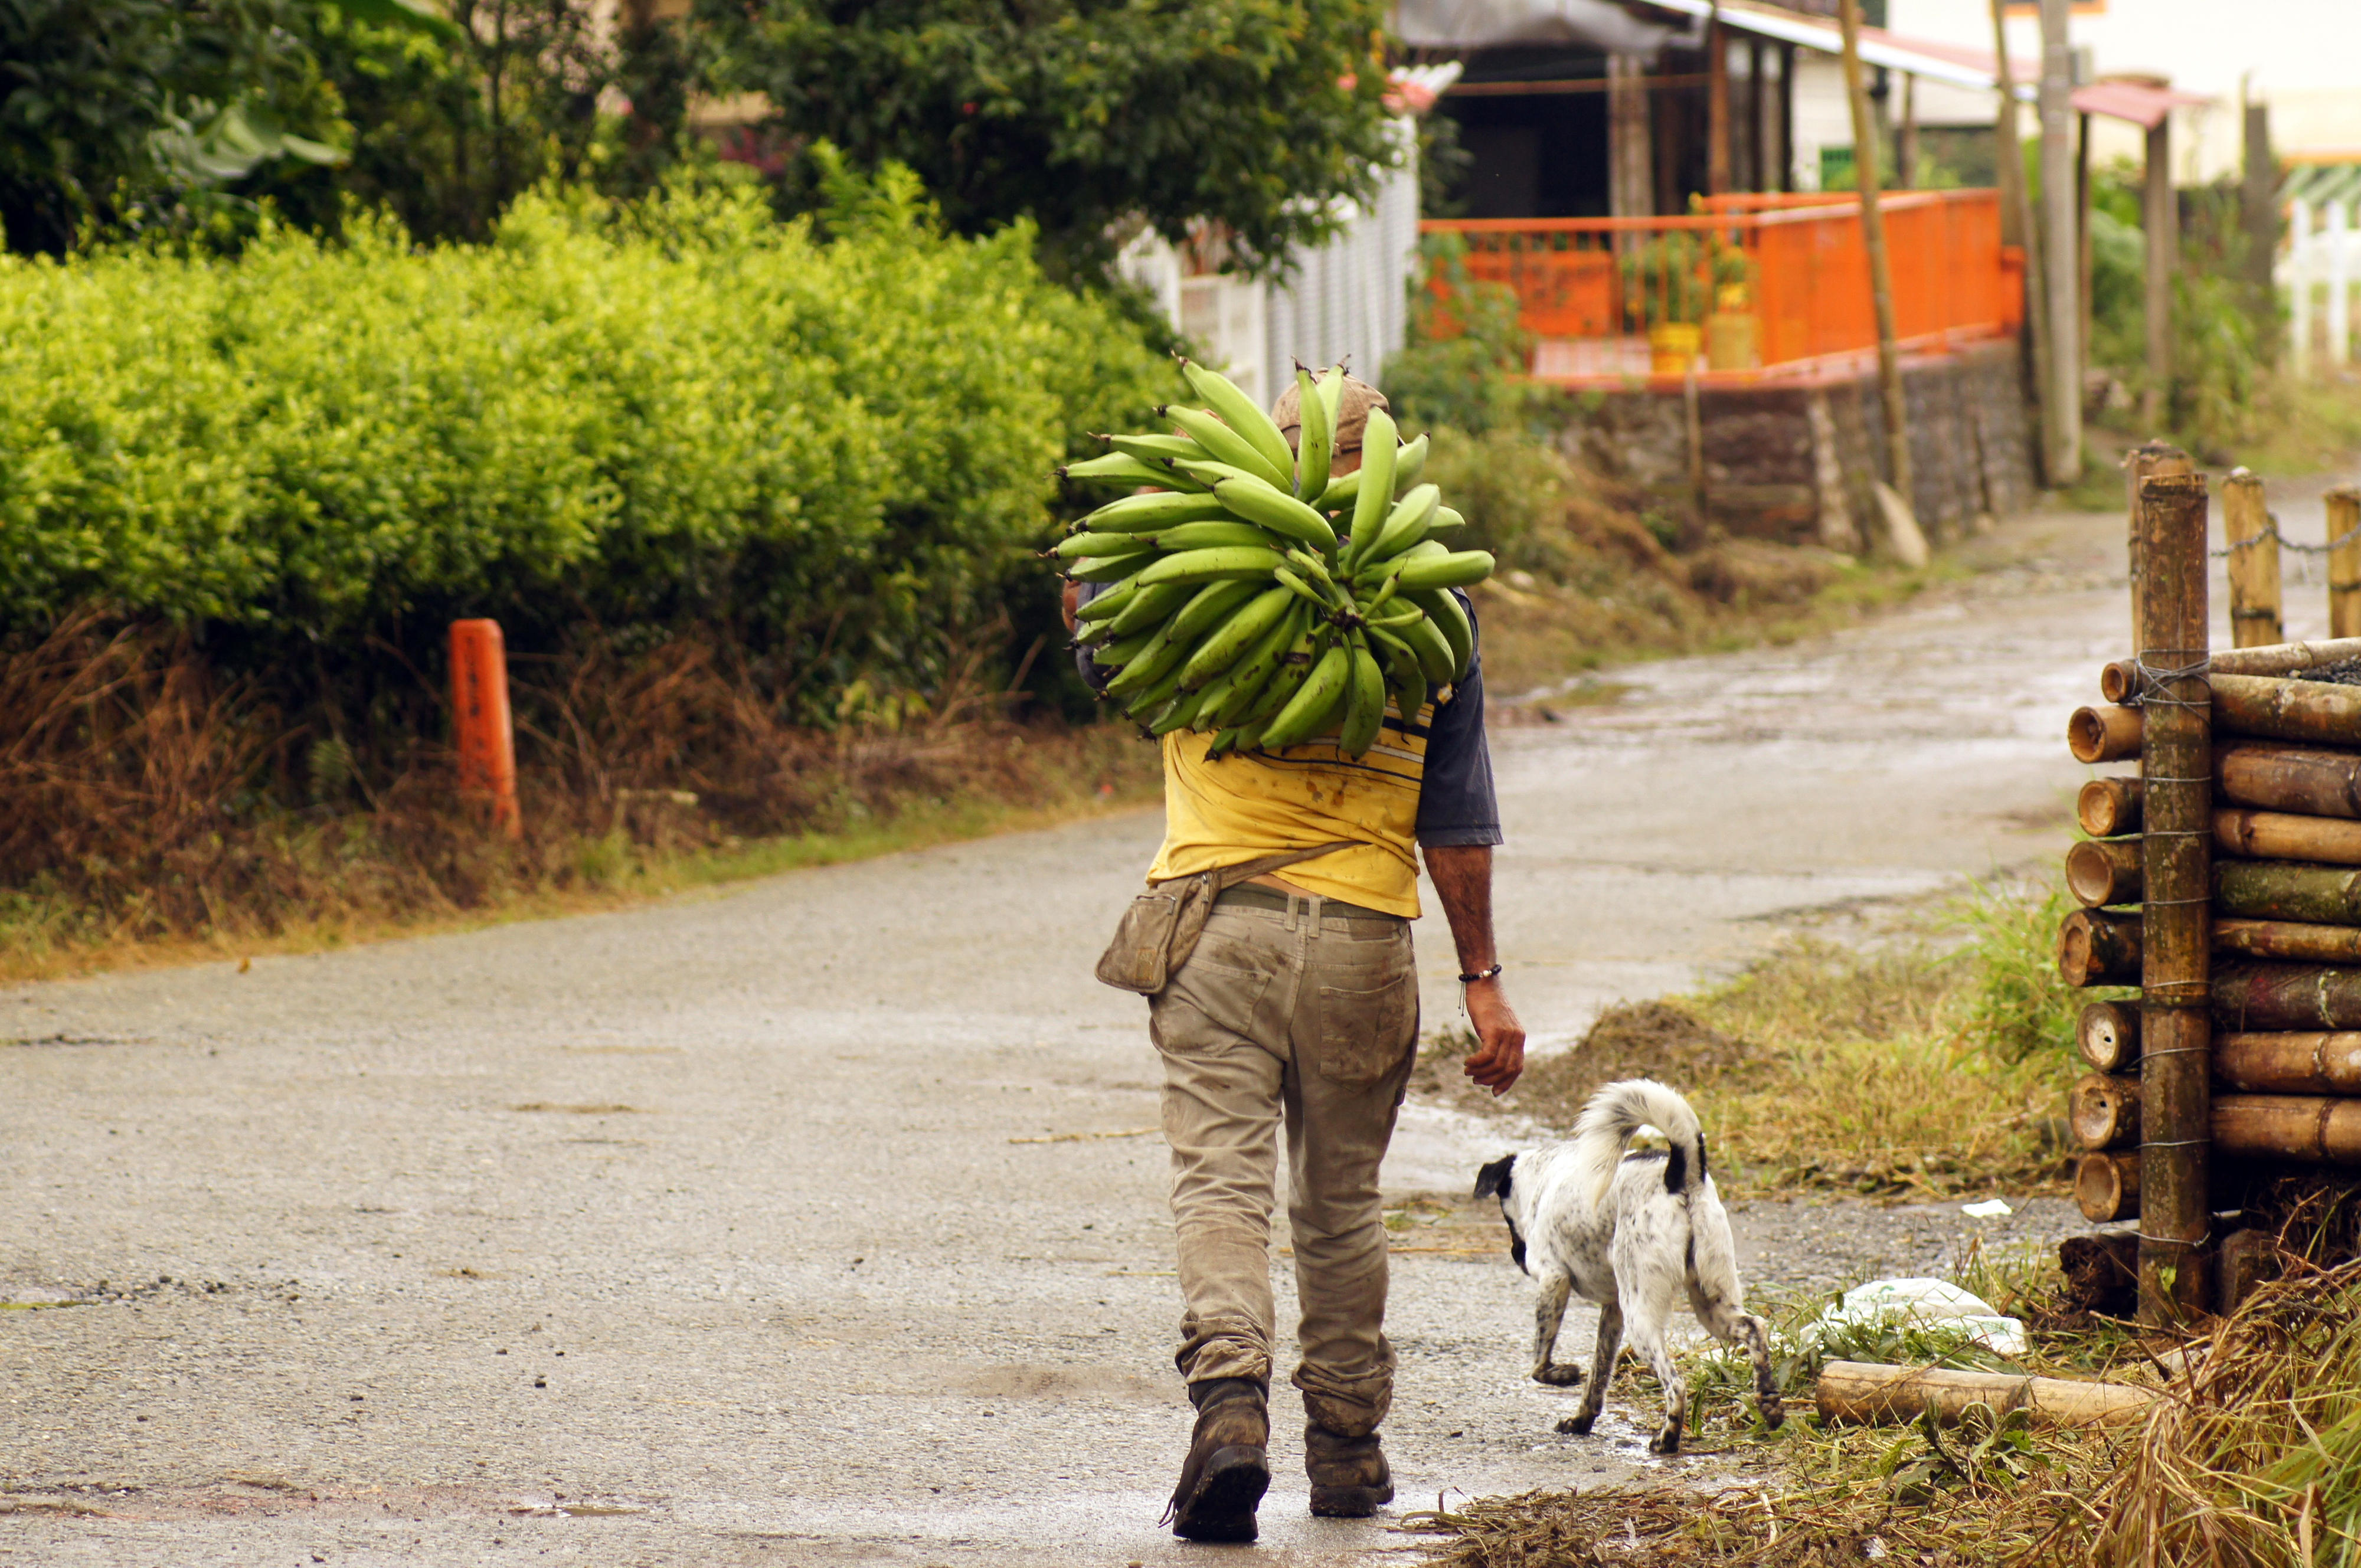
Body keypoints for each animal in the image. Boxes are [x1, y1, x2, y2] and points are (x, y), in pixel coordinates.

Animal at [1464, 1076, 1775, 1454]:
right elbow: (1599, 1375)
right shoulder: (1612, 1309)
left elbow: (1539, 1363)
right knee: (1756, 1327)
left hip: (1642, 1317)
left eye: (1506, 1218)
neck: (1544, 1177)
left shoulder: (1554, 1279)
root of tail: (1679, 1174)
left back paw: (1668, 1437)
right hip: (1711, 1303)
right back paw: (1770, 1402)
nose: (1516, 1256)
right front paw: (1581, 1420)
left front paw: (1562, 1374)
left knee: (1676, 1384)